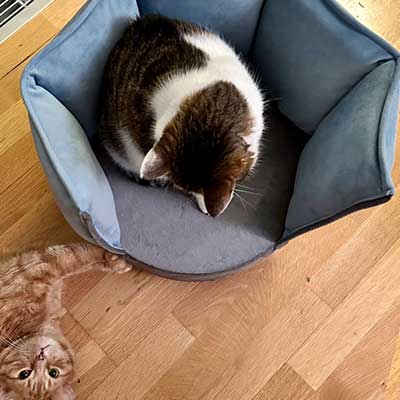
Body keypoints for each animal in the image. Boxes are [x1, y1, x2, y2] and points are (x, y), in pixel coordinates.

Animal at [0, 243, 132, 400]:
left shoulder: (43, 268)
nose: (41, 356)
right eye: (24, 374)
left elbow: (84, 256)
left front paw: (114, 260)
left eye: (53, 372)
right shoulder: (44, 265)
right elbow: (80, 255)